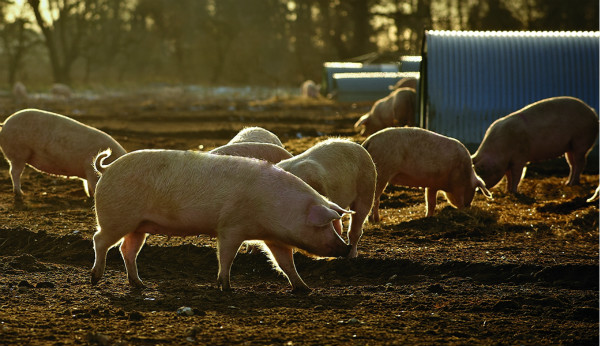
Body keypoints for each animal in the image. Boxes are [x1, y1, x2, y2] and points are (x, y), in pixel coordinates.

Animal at [89, 149, 352, 292]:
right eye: (326, 226)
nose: (347, 248)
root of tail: (106, 169)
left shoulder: (274, 238)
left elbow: (286, 264)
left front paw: (305, 289)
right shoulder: (230, 227)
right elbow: (226, 256)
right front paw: (226, 287)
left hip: (138, 226)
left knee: (127, 250)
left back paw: (140, 285)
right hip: (116, 218)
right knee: (99, 240)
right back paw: (95, 279)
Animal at [360, 126, 492, 219]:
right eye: (474, 190)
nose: (468, 206)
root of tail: (368, 141)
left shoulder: (432, 185)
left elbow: (431, 202)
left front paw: (428, 217)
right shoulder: (458, 183)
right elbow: (458, 200)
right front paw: (462, 212)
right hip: (382, 172)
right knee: (375, 199)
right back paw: (375, 220)